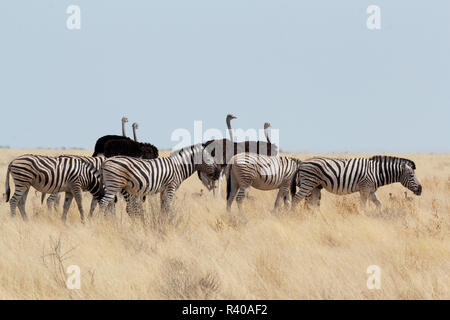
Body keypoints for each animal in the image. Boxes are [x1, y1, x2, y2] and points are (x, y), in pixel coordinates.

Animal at [290, 156, 424, 210]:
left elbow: (379, 204)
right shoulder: (364, 188)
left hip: (315, 186)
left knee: (311, 203)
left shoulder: (371, 191)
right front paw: (363, 216)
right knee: (296, 199)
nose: (420, 190)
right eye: (411, 175)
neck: (377, 171)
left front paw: (378, 215)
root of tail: (301, 163)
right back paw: (292, 215)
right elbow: (363, 205)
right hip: (308, 183)